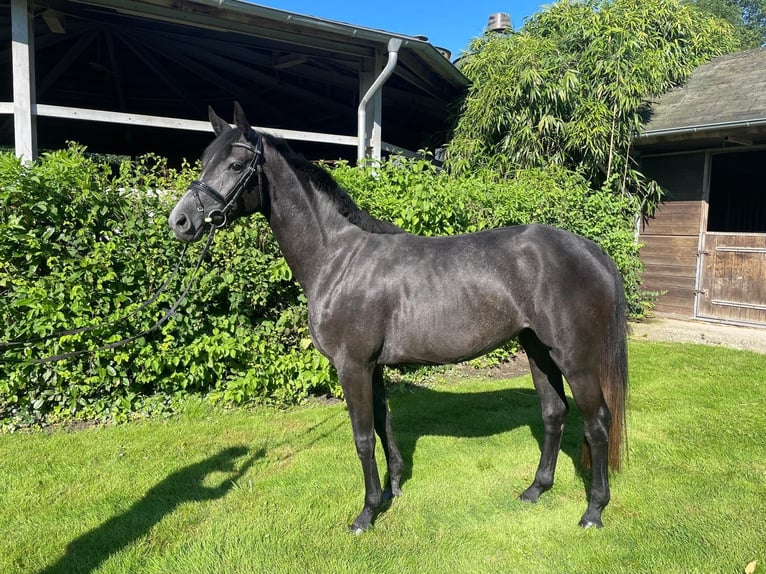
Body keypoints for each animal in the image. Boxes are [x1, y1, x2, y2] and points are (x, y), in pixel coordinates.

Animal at [170, 104, 632, 536]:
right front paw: (392, 490)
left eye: (235, 165)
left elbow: (361, 438)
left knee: (597, 423)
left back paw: (593, 510)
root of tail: (593, 250)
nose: (180, 221)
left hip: (575, 359)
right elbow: (382, 427)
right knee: (554, 413)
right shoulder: (372, 368)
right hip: (537, 350)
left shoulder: (352, 366)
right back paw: (536, 489)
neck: (338, 259)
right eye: (205, 160)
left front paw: (366, 513)